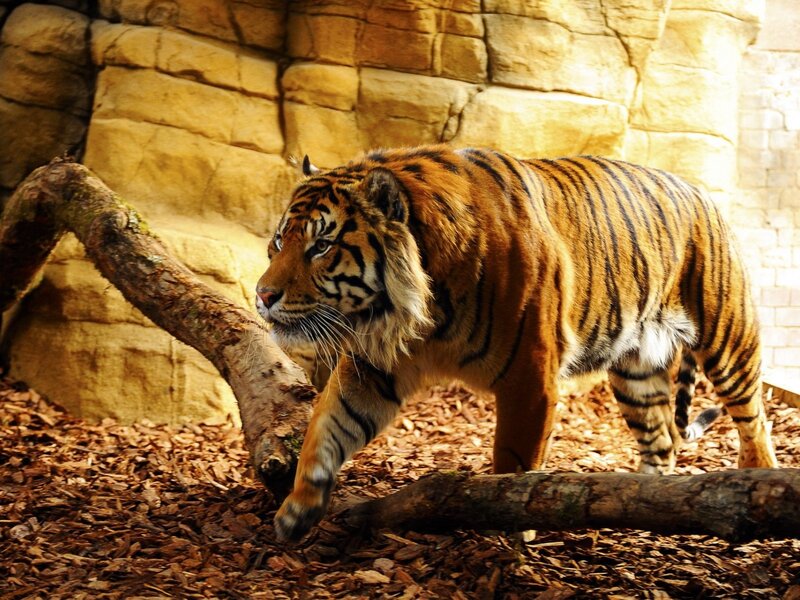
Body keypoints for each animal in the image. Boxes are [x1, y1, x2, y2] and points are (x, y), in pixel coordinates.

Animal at [255, 145, 779, 542]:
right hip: (636, 370)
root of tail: (702, 193)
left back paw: (755, 478)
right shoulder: (372, 366)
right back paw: (640, 500)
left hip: (728, 339)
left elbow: (511, 463)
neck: (415, 310)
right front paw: (297, 508)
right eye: (279, 241)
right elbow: (326, 426)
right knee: (662, 439)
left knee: (754, 419)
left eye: (321, 247)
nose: (262, 295)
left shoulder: (529, 378)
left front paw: (504, 532)